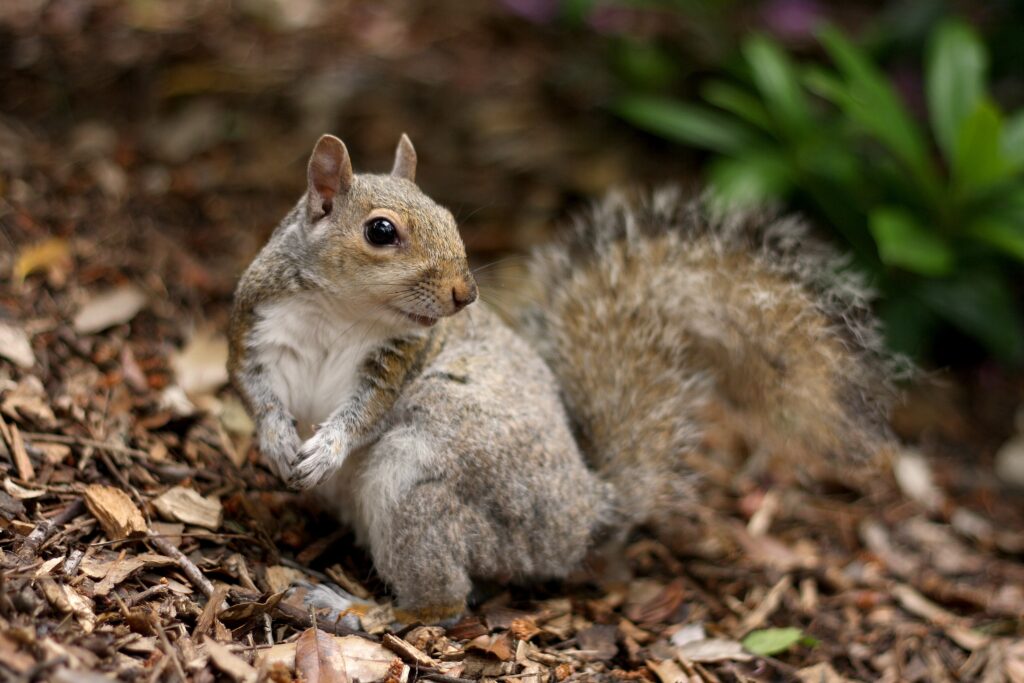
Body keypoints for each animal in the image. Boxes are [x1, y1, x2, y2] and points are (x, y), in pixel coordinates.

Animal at [228, 133, 899, 624]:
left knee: (443, 605)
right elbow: (256, 393)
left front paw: (327, 446)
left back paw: (355, 609)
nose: (466, 294)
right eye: (381, 231)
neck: (341, 312)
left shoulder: (397, 360)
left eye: (450, 218)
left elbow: (363, 412)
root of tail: (587, 513)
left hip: (418, 483)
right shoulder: (256, 330)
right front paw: (278, 441)